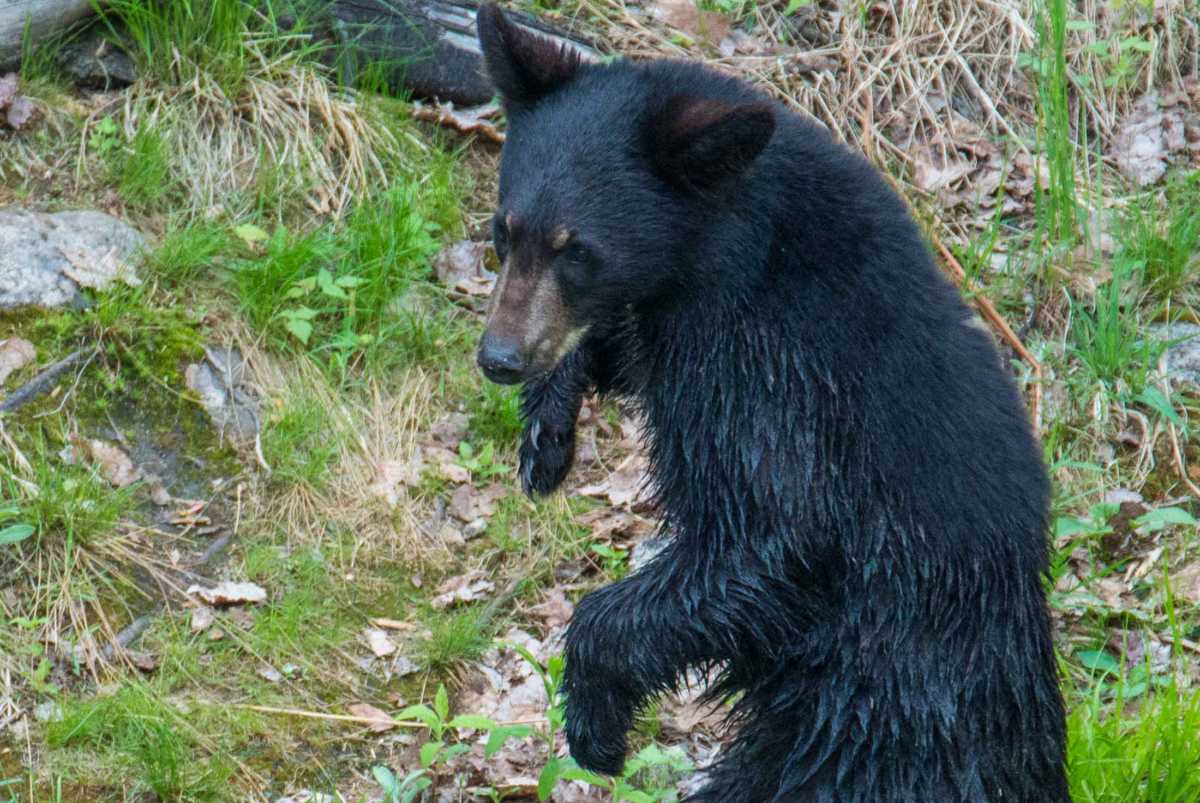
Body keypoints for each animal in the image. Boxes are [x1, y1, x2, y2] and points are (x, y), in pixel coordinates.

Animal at [468, 4, 1070, 796]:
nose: (500, 358)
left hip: (868, 719)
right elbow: (625, 350)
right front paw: (547, 432)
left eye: (579, 248)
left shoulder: (775, 366)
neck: (727, 247)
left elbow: (772, 532)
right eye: (504, 229)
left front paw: (595, 719)